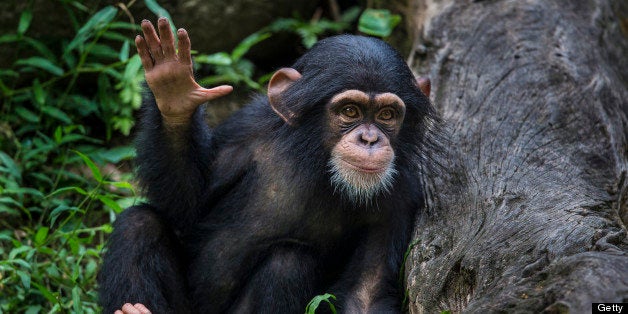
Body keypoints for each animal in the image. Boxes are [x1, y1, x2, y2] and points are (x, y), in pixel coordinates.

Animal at [99, 17, 436, 314]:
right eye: (350, 111)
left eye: (387, 115)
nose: (370, 139)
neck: (319, 165)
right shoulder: (244, 132)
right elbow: (186, 206)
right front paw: (174, 91)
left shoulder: (399, 197)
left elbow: (366, 292)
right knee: (139, 224)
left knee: (288, 262)